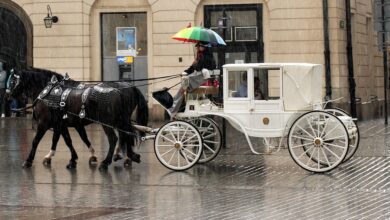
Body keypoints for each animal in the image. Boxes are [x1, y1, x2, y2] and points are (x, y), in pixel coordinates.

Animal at [7, 68, 148, 169]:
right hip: (121, 120)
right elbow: (67, 140)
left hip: (107, 122)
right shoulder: (62, 125)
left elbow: (36, 141)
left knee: (114, 138)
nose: (7, 96)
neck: (48, 94)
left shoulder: (44, 124)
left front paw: (29, 161)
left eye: (13, 81)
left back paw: (107, 162)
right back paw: (130, 156)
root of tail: (120, 90)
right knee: (126, 135)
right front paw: (71, 159)